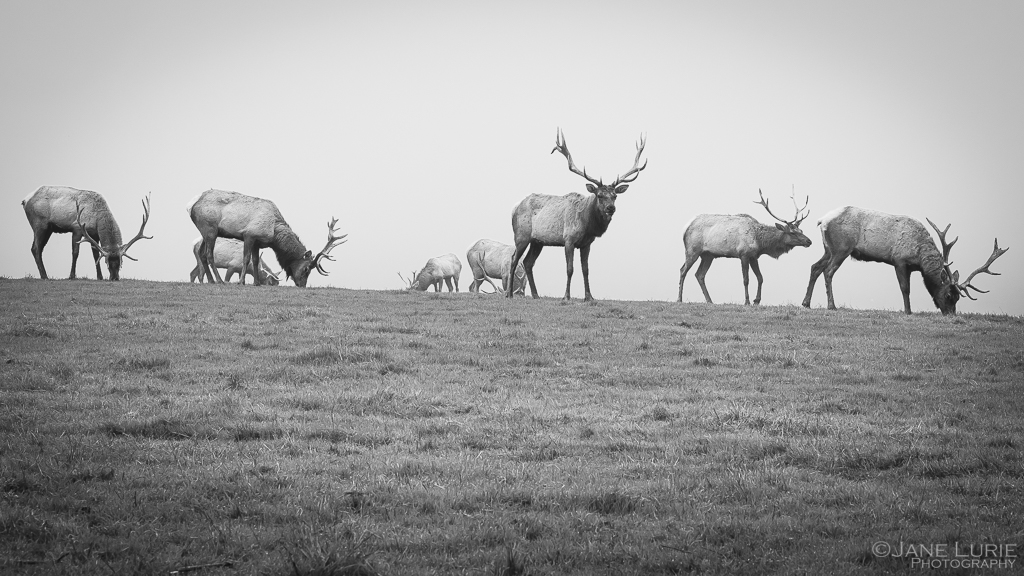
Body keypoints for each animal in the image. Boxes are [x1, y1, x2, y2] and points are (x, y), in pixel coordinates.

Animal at [22, 186, 152, 280]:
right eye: (107, 262)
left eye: (121, 262)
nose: (114, 278)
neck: (97, 218)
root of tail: (25, 200)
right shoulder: (77, 228)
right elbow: (75, 253)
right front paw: (72, 276)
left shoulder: (94, 234)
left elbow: (95, 255)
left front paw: (100, 277)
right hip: (39, 224)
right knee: (36, 248)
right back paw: (44, 276)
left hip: (48, 229)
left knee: (37, 248)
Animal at [187, 189, 346, 287]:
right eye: (306, 268)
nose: (302, 285)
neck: (274, 234)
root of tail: (190, 205)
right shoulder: (249, 235)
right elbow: (246, 259)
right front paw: (241, 281)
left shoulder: (258, 243)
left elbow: (256, 261)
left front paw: (256, 282)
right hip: (210, 229)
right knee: (208, 254)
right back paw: (219, 280)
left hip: (205, 233)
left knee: (201, 254)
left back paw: (211, 280)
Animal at [507, 128, 646, 301]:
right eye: (599, 195)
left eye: (615, 196)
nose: (611, 208)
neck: (587, 225)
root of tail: (515, 207)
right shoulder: (568, 239)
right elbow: (570, 269)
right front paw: (566, 297)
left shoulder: (587, 243)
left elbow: (586, 270)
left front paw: (589, 297)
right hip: (521, 235)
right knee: (514, 259)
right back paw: (508, 294)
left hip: (537, 241)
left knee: (527, 262)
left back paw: (536, 295)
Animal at [678, 189, 812, 305]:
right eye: (792, 233)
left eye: (801, 230)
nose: (809, 241)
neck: (760, 242)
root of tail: (686, 227)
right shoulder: (743, 254)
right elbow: (746, 279)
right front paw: (747, 301)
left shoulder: (754, 256)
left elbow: (760, 277)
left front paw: (757, 300)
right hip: (692, 250)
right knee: (683, 270)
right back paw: (679, 299)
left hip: (708, 255)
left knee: (699, 275)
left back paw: (709, 300)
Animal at [801, 206, 1008, 315]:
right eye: (949, 295)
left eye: (958, 298)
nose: (951, 315)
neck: (921, 257)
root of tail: (822, 220)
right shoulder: (899, 260)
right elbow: (905, 288)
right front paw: (908, 312)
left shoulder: (910, 267)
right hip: (842, 248)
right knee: (828, 271)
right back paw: (831, 305)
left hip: (828, 249)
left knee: (815, 267)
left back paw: (806, 302)